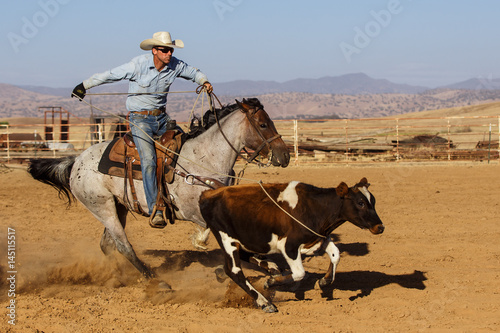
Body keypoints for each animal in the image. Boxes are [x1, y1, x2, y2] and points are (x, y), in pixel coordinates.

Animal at [27, 97, 292, 278]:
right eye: (263, 124)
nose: (285, 155)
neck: (205, 158)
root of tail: (76, 162)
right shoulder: (194, 213)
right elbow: (221, 237)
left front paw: (268, 265)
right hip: (101, 207)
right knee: (122, 245)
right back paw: (153, 278)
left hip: (119, 206)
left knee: (107, 245)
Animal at [198, 176, 382, 312]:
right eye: (360, 203)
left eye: (373, 201)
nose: (380, 227)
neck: (313, 207)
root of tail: (207, 194)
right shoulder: (289, 246)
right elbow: (300, 273)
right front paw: (271, 283)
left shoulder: (318, 238)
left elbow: (335, 254)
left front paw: (325, 281)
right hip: (226, 239)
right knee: (234, 271)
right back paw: (265, 302)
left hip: (242, 240)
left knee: (245, 257)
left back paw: (270, 267)